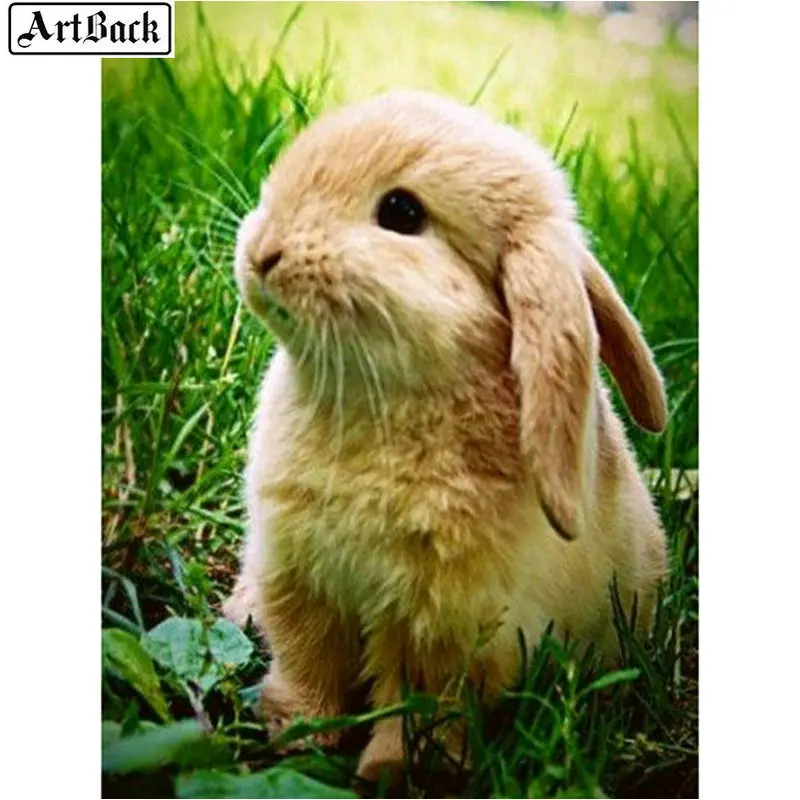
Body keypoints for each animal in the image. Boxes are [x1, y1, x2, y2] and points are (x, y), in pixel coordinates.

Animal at [223, 89, 668, 782]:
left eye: (402, 213)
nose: (263, 252)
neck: (385, 402)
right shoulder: (298, 577)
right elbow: (307, 661)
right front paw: (294, 730)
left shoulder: (447, 629)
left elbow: (418, 705)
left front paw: (393, 773)